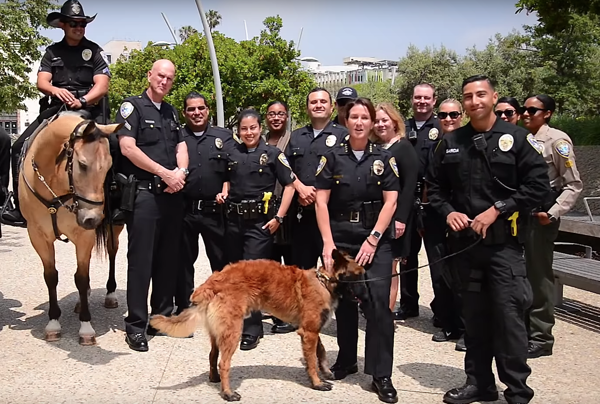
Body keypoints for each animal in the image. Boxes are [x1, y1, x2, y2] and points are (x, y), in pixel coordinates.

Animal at [19, 110, 123, 345]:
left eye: (109, 167)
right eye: (82, 165)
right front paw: (53, 323)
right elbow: (51, 276)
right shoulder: (37, 235)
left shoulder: (84, 236)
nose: (93, 219)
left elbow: (81, 278)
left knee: (112, 251)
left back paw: (110, 294)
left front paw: (86, 327)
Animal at [150, 249, 366, 401]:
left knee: (212, 356)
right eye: (358, 277)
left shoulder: (311, 331)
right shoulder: (309, 332)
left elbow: (320, 351)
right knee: (223, 363)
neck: (324, 282)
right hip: (233, 331)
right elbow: (311, 360)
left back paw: (215, 379)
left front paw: (326, 372)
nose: (366, 297)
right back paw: (228, 393)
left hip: (219, 333)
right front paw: (317, 383)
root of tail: (212, 282)